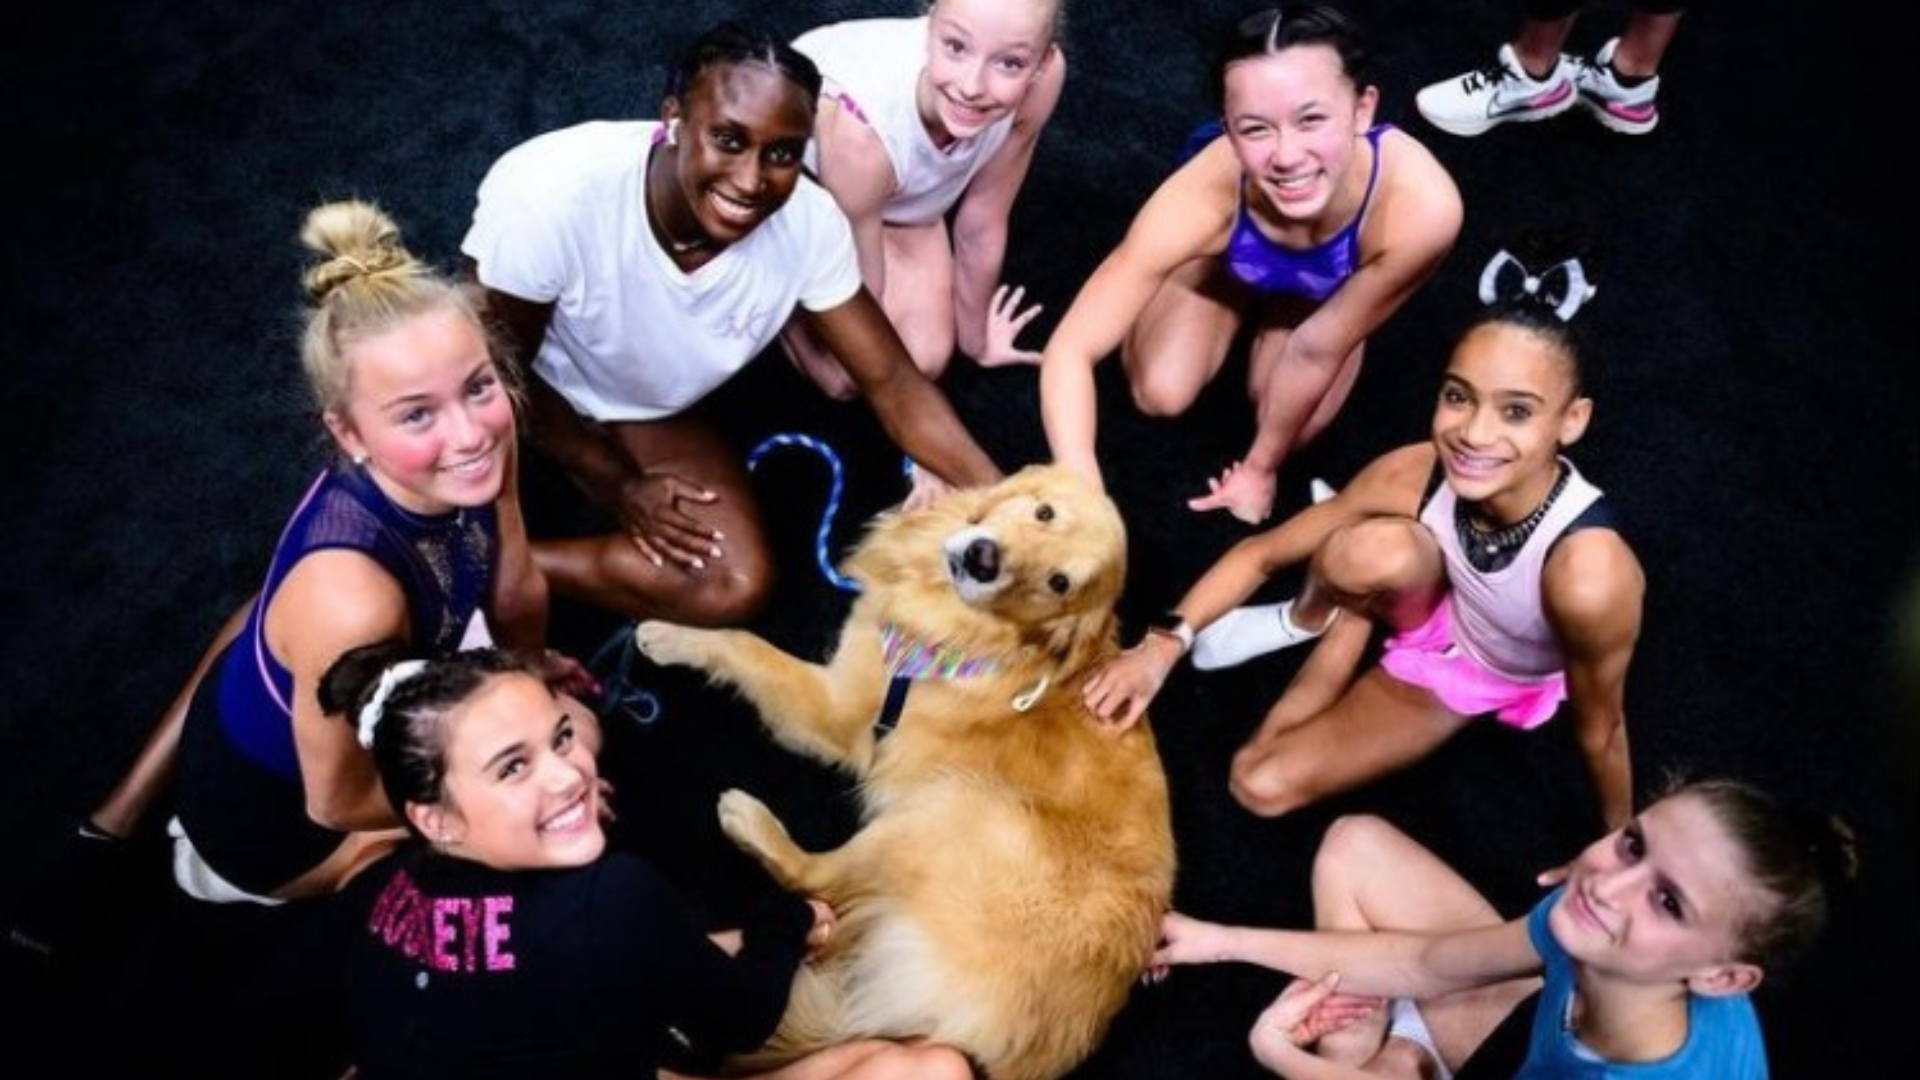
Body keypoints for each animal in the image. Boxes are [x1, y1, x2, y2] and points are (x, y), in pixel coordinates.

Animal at [633, 461, 1167, 1076]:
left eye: (1060, 583)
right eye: (1044, 512)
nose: (984, 559)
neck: (971, 627)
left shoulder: (838, 710)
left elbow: (746, 645)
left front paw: (667, 634)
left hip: (952, 809)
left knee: (817, 878)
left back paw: (751, 825)